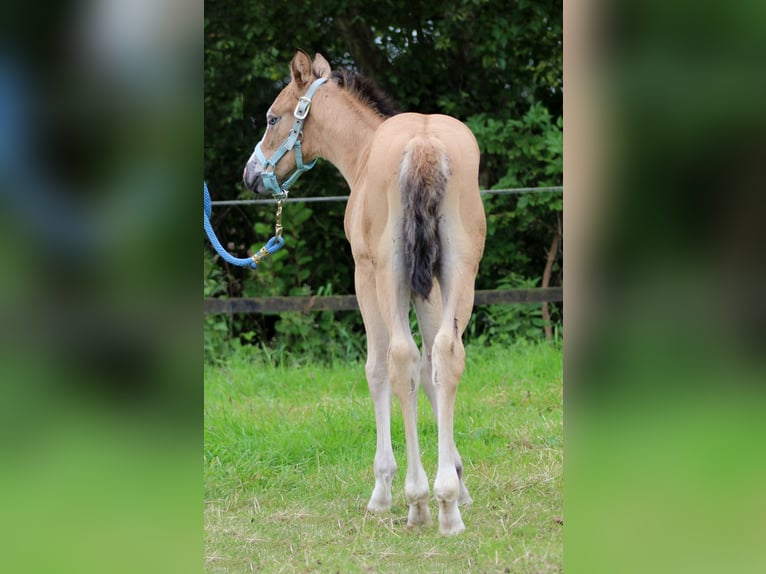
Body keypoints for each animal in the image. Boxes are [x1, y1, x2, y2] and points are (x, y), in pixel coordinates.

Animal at [243, 50, 488, 536]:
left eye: (272, 118)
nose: (251, 176)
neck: (365, 150)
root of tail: (423, 146)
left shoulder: (364, 273)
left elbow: (378, 369)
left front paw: (383, 487)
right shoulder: (429, 289)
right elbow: (432, 370)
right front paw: (458, 482)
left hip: (389, 275)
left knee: (399, 359)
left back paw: (417, 501)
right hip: (459, 271)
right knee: (446, 354)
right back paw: (448, 508)